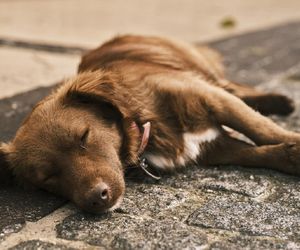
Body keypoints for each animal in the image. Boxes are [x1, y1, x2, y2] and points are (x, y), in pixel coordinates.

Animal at [0, 35, 300, 214]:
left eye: (84, 136)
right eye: (47, 178)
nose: (97, 198)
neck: (145, 123)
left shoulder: (211, 97)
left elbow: (260, 128)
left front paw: (293, 140)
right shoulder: (215, 148)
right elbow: (254, 153)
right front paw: (289, 156)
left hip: (200, 68)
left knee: (232, 86)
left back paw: (278, 101)